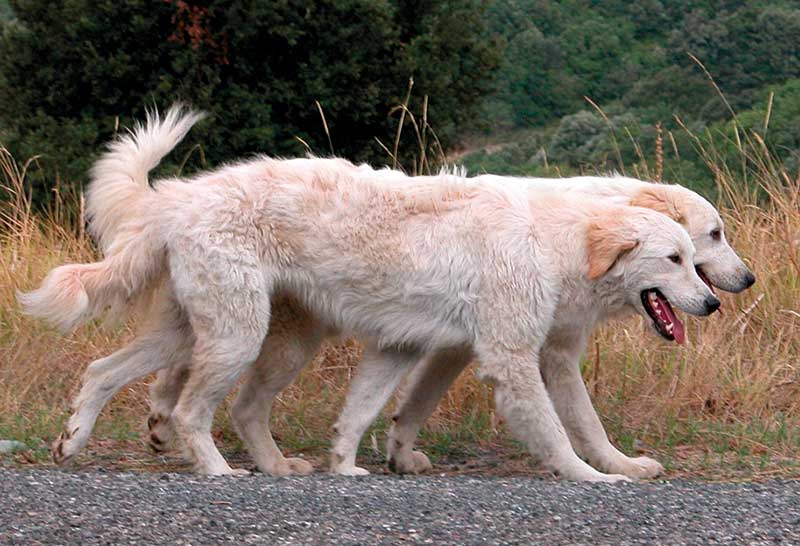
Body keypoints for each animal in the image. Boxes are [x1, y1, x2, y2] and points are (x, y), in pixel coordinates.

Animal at [20, 108, 736, 478]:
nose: (722, 299)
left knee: (111, 373)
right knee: (195, 408)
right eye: (690, 250)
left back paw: (79, 442)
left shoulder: (409, 346)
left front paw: (348, 465)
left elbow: (364, 412)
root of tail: (176, 199)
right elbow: (566, 431)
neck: (564, 236)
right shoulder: (515, 359)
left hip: (213, 332)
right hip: (236, 336)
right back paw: (217, 471)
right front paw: (595, 477)